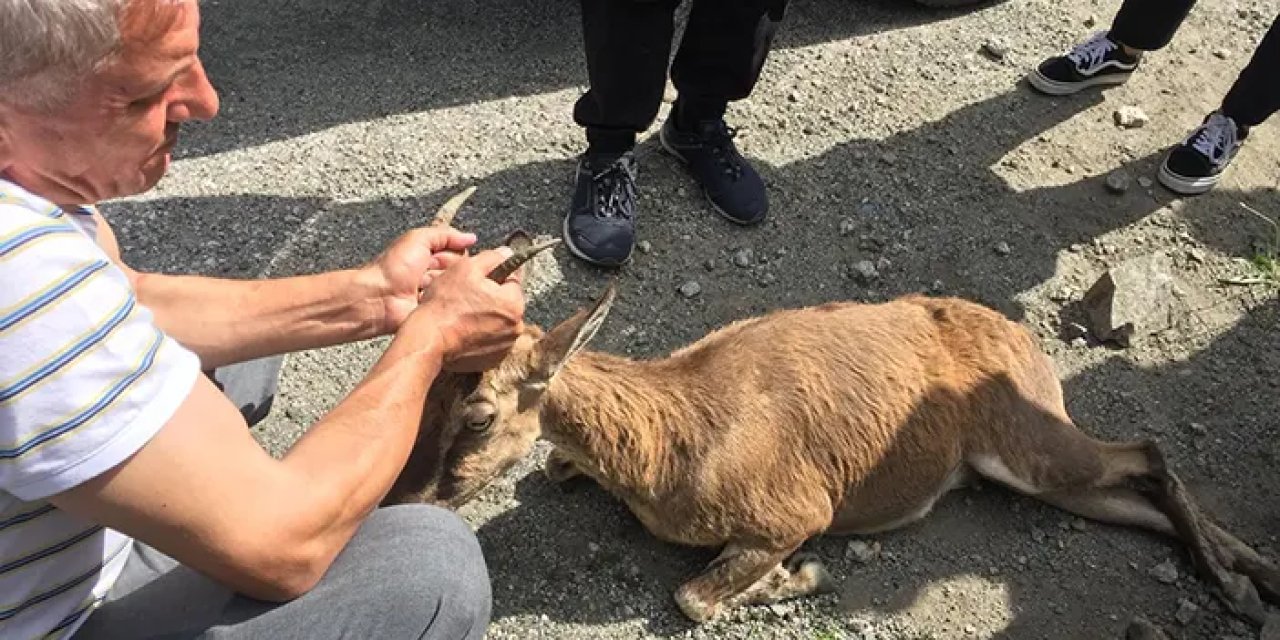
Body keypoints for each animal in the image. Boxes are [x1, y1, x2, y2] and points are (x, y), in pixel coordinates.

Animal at [384, 217, 1274, 627]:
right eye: (429, 390)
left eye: (479, 412)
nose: (409, 499)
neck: (669, 437)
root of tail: (1018, 336)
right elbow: (552, 469)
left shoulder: (792, 509)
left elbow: (693, 597)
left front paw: (798, 578)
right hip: (1032, 471)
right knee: (1136, 489)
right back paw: (1252, 574)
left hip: (1031, 445)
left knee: (1147, 451)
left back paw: (1238, 583)